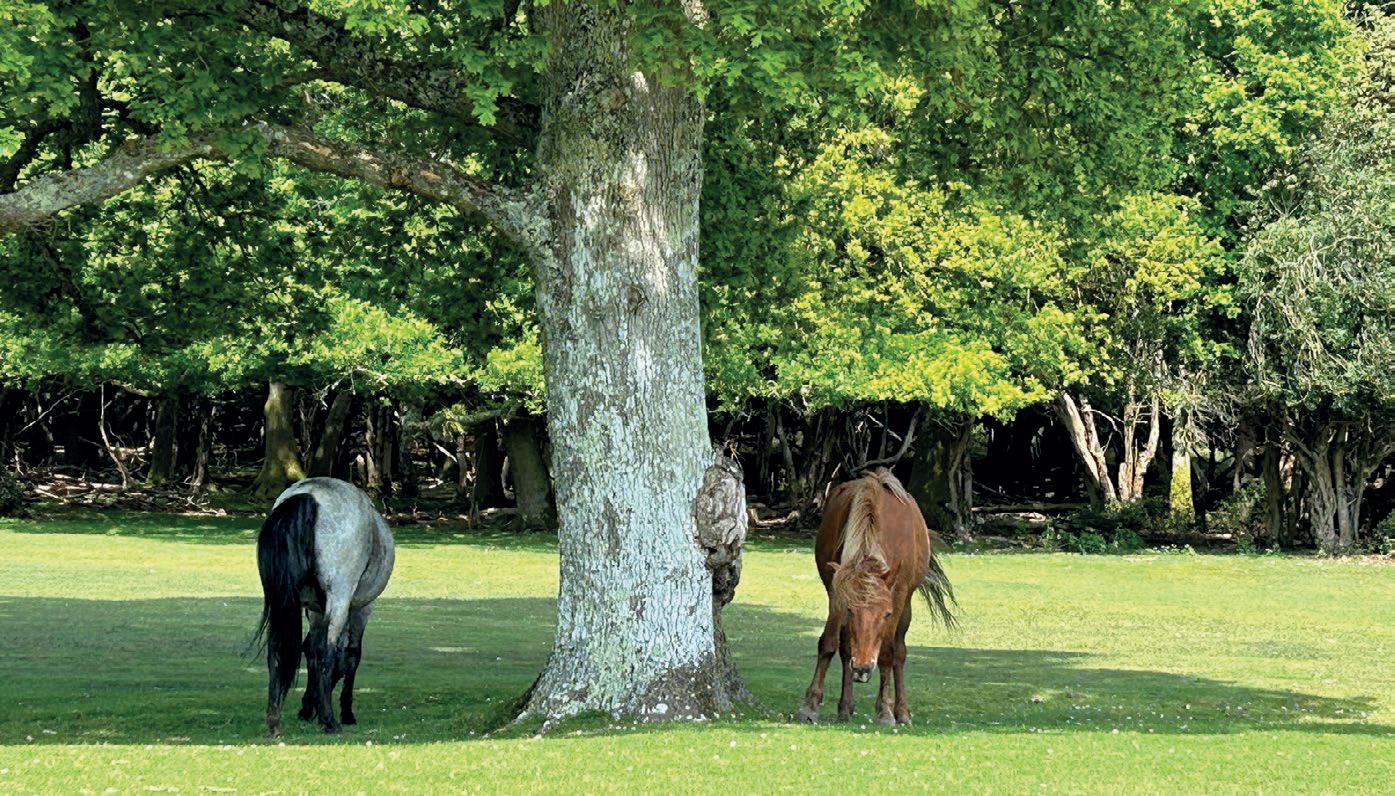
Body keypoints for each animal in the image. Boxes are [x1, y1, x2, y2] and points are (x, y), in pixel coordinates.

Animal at [252, 477, 395, 736]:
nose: (311, 709)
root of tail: (309, 494)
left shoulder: (315, 611)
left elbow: (310, 650)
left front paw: (309, 706)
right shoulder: (362, 609)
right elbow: (350, 655)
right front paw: (344, 712)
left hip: (283, 603)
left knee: (277, 651)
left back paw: (274, 720)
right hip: (339, 600)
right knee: (327, 653)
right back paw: (330, 721)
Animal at [795, 467, 955, 726]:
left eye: (886, 614)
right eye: (850, 611)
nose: (862, 669)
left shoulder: (897, 596)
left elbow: (888, 655)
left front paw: (885, 711)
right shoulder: (836, 592)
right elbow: (829, 644)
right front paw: (809, 706)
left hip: (907, 607)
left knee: (899, 652)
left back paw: (901, 711)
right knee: (846, 649)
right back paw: (845, 706)